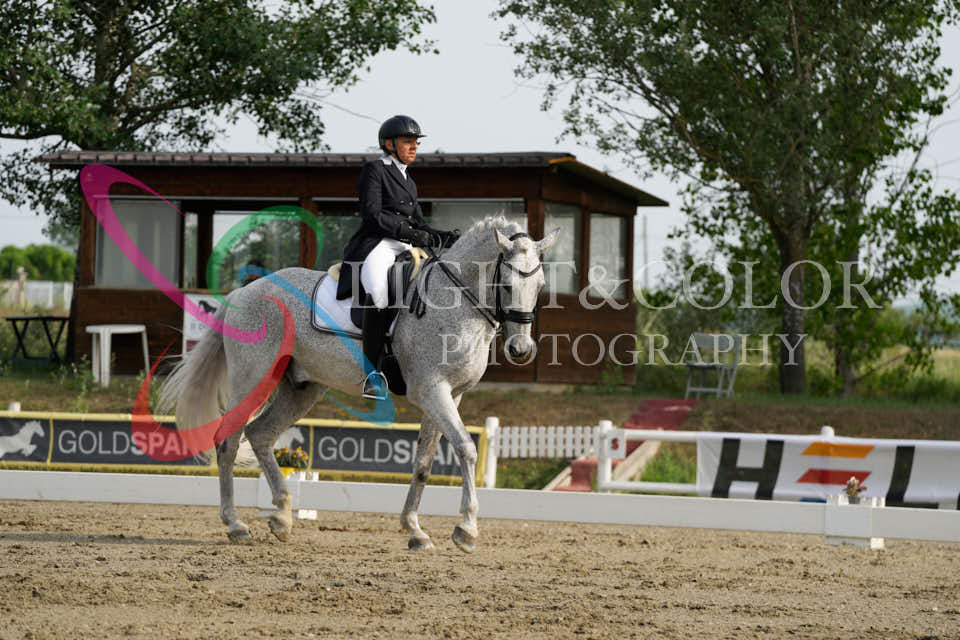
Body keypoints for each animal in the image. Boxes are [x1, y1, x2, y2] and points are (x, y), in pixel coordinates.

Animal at [158, 216, 559, 552]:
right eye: (506, 283)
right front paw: (466, 530)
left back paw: (282, 517)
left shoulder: (451, 396)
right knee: (228, 441)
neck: (454, 301)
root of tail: (245, 291)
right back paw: (236, 525)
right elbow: (466, 449)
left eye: (540, 285)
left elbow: (424, 462)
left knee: (260, 434)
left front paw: (415, 530)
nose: (521, 349)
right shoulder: (432, 390)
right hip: (253, 378)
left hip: (301, 388)